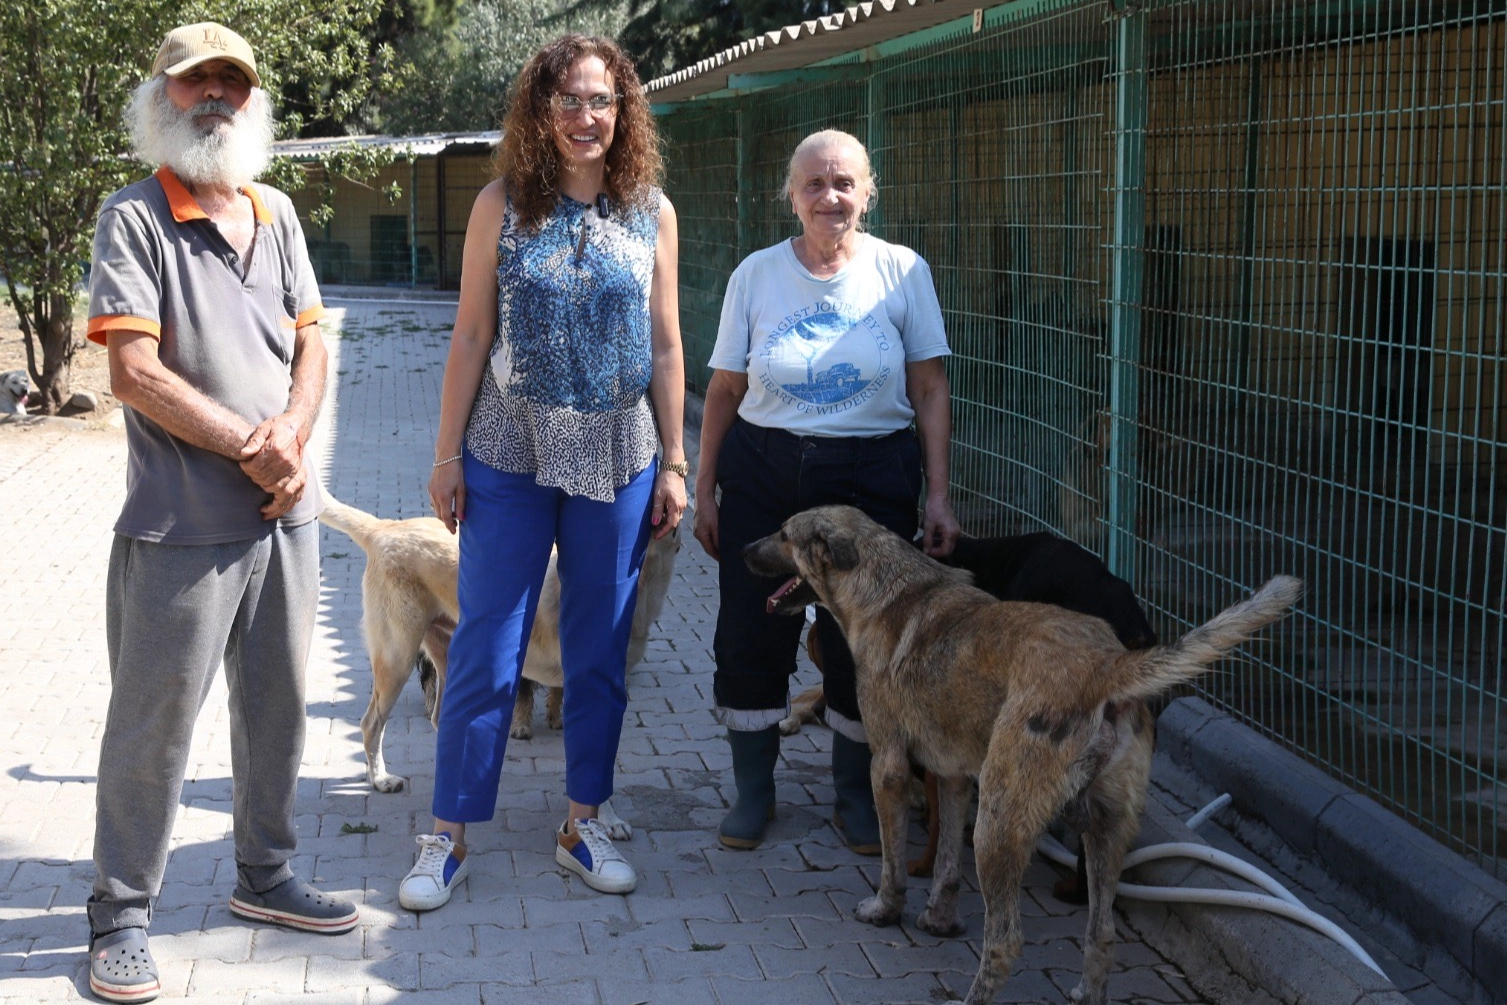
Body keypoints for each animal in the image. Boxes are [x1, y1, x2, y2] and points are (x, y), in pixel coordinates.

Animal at [324, 497, 684, 843]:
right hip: (396, 657)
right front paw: (603, 819)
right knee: (372, 723)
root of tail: (384, 528)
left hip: (449, 656)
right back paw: (381, 779)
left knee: (440, 718)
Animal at [747, 506, 1302, 1005]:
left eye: (784, 532)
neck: (886, 587)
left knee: (1006, 940)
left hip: (999, 823)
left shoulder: (888, 765)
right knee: (1102, 931)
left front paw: (885, 909)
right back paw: (1087, 991)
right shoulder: (952, 775)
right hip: (1103, 828)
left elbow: (893, 864)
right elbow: (946, 865)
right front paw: (939, 920)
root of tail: (1106, 665)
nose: (742, 549)